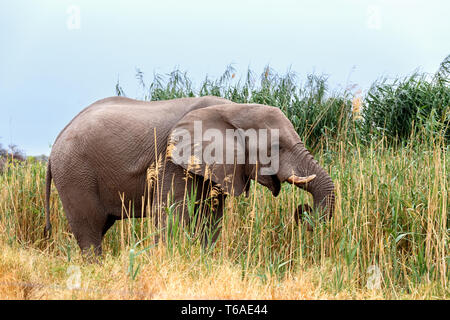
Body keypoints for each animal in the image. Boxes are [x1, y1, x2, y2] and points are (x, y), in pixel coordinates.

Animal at [44, 95, 334, 255]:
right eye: (276, 147)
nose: (302, 211)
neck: (233, 108)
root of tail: (57, 137)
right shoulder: (171, 159)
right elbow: (172, 215)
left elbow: (211, 218)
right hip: (75, 173)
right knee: (90, 230)